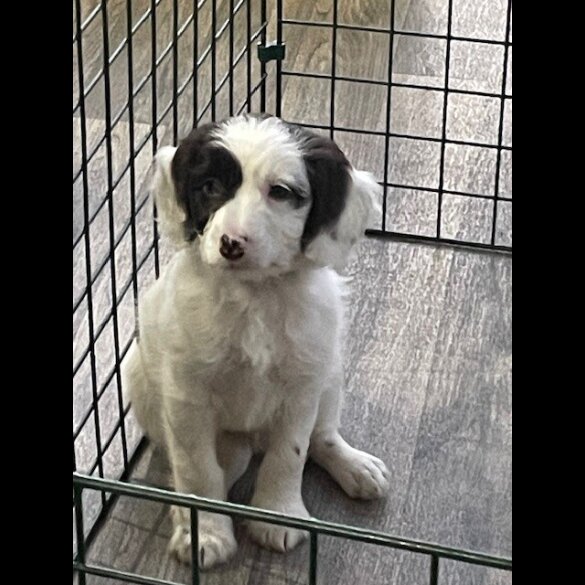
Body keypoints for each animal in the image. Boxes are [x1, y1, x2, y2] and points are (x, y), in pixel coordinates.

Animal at [122, 113, 388, 564]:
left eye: (281, 193)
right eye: (210, 186)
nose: (231, 244)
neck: (255, 297)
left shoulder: (301, 389)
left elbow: (289, 455)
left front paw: (277, 516)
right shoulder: (187, 396)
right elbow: (196, 469)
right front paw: (204, 530)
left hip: (330, 373)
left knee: (322, 436)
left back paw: (355, 466)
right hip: (141, 379)